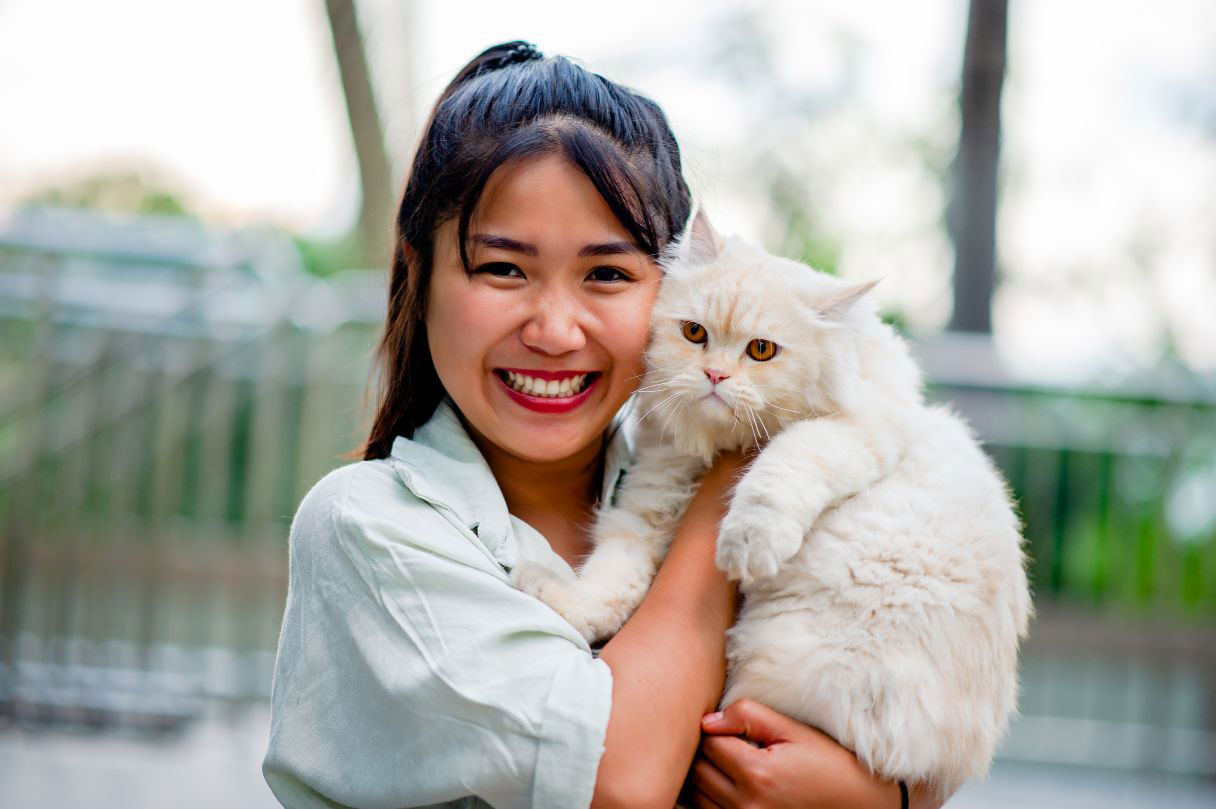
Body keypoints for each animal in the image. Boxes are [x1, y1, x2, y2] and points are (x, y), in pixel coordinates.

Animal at [508, 208, 1031, 793]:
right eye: (694, 334)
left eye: (761, 350)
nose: (714, 375)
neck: (714, 447)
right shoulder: (653, 493)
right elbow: (609, 583)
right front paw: (550, 592)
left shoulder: (859, 429)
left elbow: (778, 469)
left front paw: (746, 546)